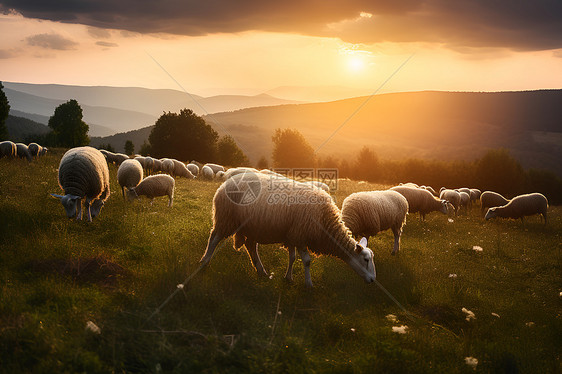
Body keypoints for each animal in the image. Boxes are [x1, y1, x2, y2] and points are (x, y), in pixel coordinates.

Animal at [199, 171, 374, 288]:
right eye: (365, 260)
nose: (373, 280)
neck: (325, 221)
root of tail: (225, 183)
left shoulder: (292, 235)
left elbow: (292, 257)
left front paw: (288, 278)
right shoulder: (301, 235)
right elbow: (307, 261)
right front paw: (309, 284)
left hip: (250, 226)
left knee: (251, 247)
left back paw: (261, 271)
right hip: (226, 218)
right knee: (214, 238)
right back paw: (204, 263)